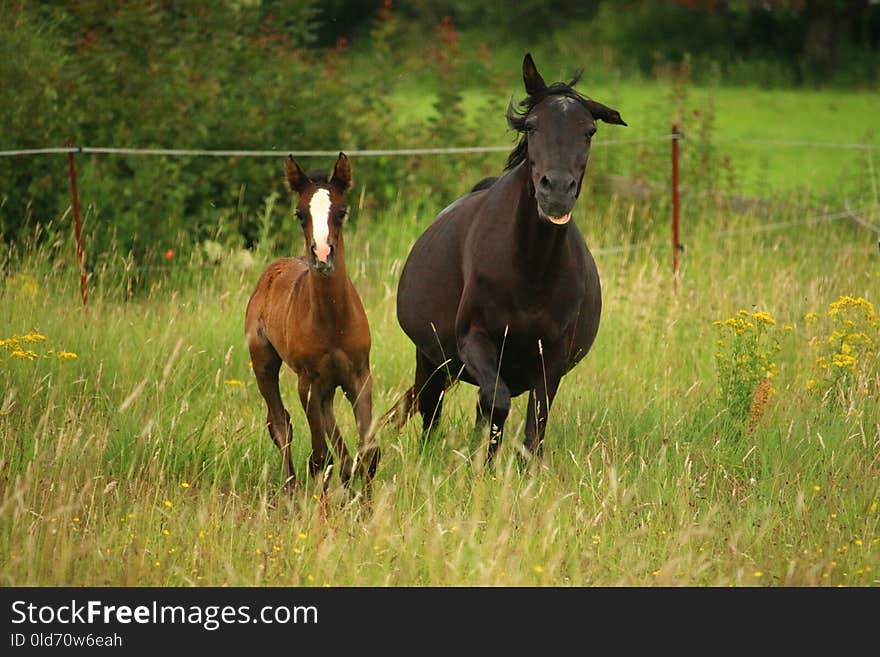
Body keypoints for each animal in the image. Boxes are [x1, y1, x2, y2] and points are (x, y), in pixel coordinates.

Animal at [244, 152, 378, 492]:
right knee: (280, 424)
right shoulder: (307, 382)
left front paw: (366, 501)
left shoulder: (360, 375)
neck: (332, 322)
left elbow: (368, 450)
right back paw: (292, 490)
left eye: (342, 212)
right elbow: (319, 457)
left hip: (331, 383)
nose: (322, 255)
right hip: (264, 362)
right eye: (300, 214)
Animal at [386, 53, 624, 462]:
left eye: (589, 131)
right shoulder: (474, 340)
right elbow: (496, 404)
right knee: (431, 410)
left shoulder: (551, 359)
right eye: (531, 126)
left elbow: (533, 427)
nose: (556, 191)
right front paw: (485, 466)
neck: (530, 269)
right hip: (432, 359)